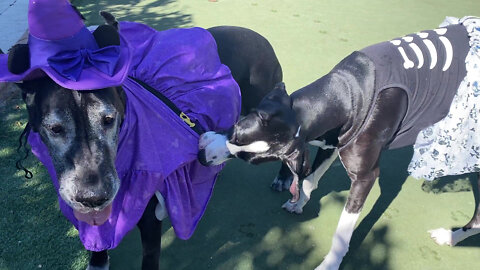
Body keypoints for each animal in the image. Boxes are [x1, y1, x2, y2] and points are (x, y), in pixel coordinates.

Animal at [11, 12, 282, 270]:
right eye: (55, 128)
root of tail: (261, 38)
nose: (93, 197)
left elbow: (149, 258)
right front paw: (98, 259)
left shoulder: (150, 218)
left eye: (108, 119)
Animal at [199, 20, 480, 268]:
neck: (348, 91)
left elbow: (343, 232)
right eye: (235, 131)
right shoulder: (330, 144)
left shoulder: (365, 177)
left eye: (247, 159)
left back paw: (450, 236)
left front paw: (331, 263)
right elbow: (309, 180)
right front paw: (298, 203)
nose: (201, 156)